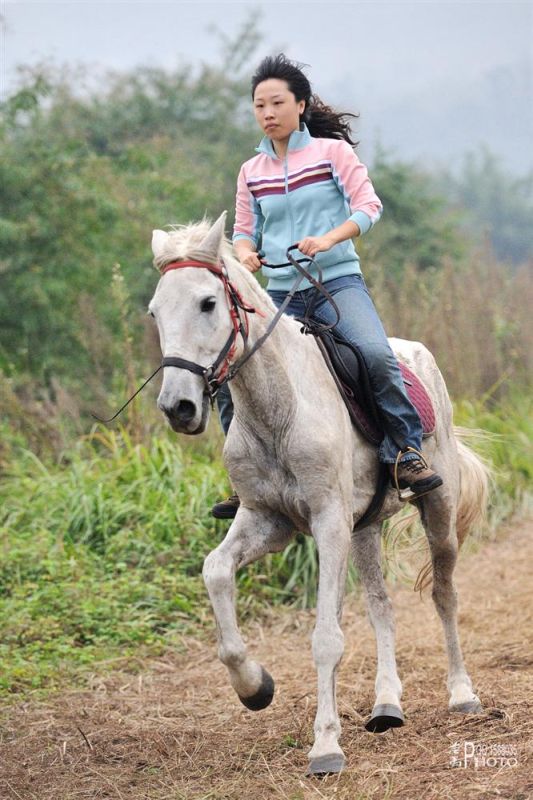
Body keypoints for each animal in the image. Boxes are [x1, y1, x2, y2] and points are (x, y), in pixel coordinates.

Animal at [148, 211, 488, 776]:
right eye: (155, 311)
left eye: (208, 303)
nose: (178, 407)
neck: (278, 408)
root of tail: (420, 358)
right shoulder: (267, 520)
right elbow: (215, 571)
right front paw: (255, 688)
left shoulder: (329, 522)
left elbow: (327, 638)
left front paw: (326, 746)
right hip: (365, 528)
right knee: (381, 607)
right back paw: (386, 706)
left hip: (435, 510)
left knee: (444, 593)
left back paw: (462, 694)